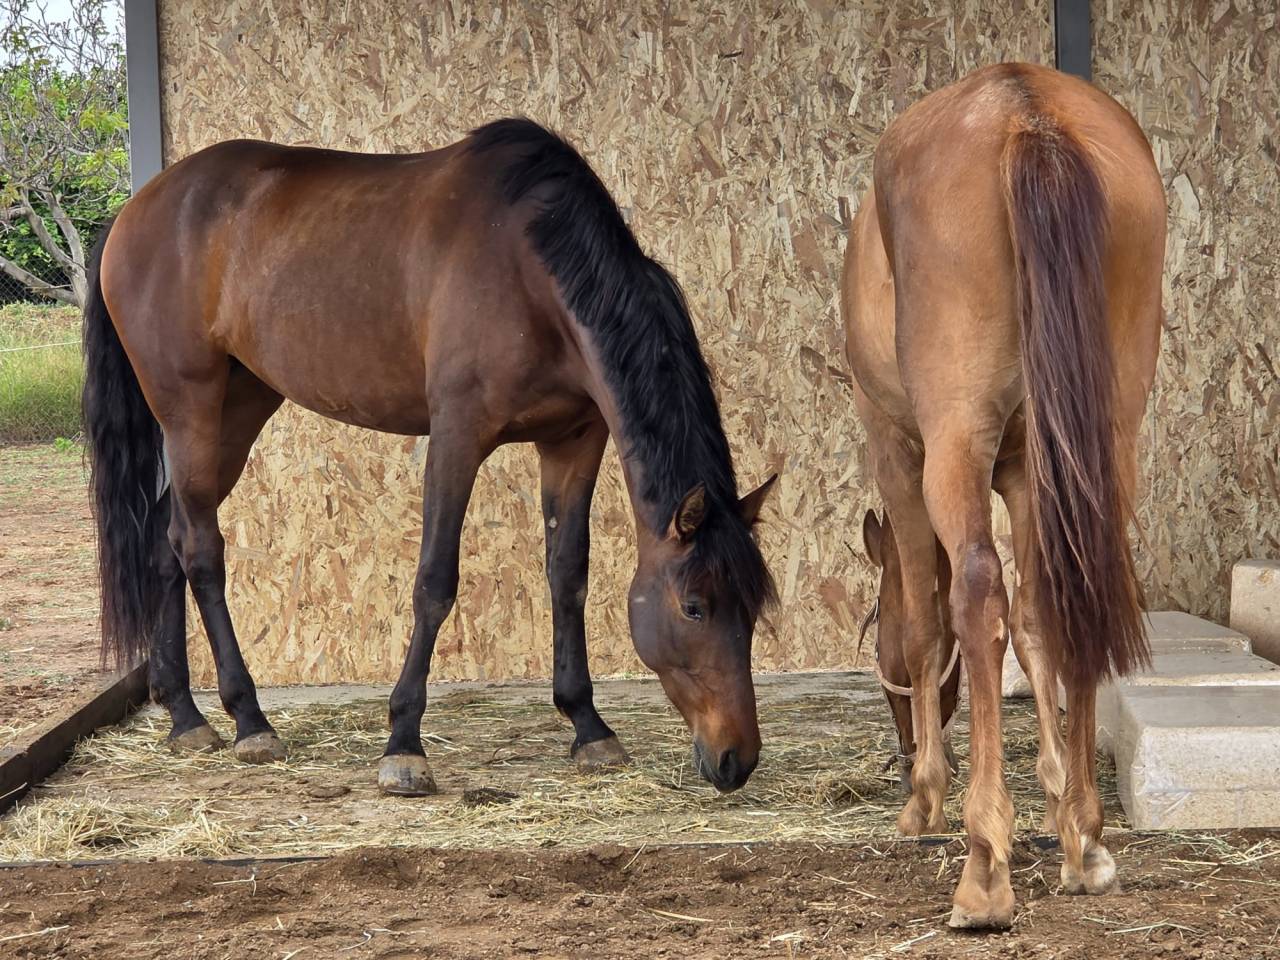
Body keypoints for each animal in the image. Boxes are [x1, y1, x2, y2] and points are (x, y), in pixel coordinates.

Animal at [82, 118, 777, 797]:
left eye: (754, 605)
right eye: (694, 607)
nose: (735, 760)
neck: (529, 269)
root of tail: (133, 211)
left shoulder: (574, 441)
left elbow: (567, 577)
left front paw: (588, 726)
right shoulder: (456, 437)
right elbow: (435, 582)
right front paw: (404, 745)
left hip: (242, 404)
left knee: (167, 538)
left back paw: (185, 716)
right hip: (190, 412)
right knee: (199, 549)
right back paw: (249, 720)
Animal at [841, 63, 1164, 928]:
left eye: (871, 632)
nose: (900, 750)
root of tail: (1027, 112)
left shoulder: (898, 453)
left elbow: (931, 624)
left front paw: (928, 799)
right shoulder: (1027, 470)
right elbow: (1039, 624)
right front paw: (1059, 804)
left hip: (953, 440)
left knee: (978, 590)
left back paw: (984, 865)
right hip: (1104, 438)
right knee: (1072, 592)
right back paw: (1086, 839)